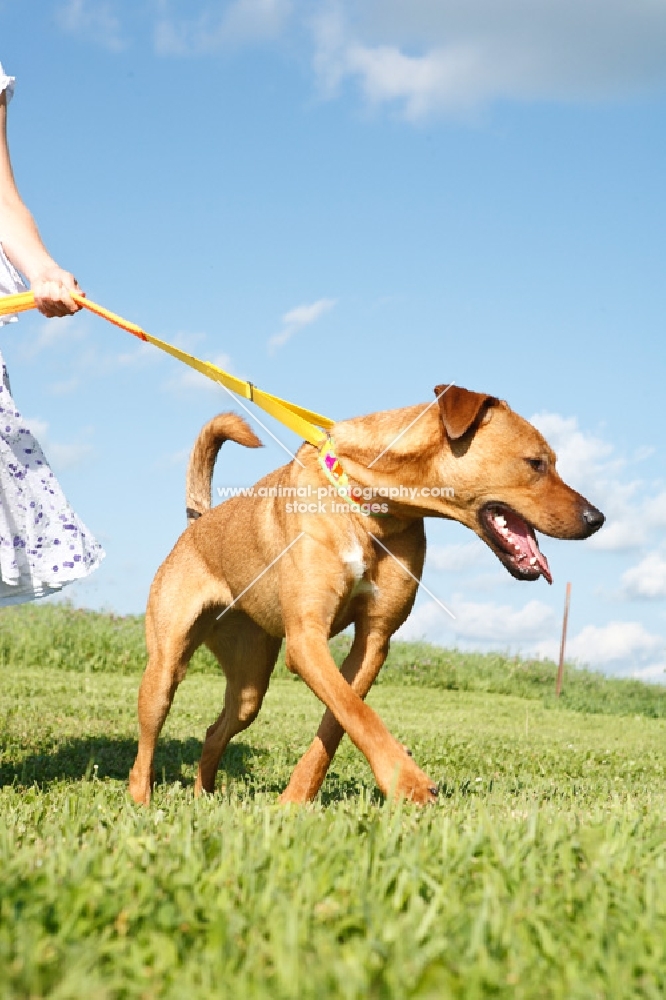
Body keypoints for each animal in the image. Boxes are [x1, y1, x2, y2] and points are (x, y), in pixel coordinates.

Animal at [128, 386, 600, 808]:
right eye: (536, 463)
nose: (597, 519)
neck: (369, 508)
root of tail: (199, 522)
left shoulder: (373, 640)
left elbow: (340, 720)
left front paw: (294, 802)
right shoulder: (307, 639)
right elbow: (359, 714)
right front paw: (409, 783)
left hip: (249, 682)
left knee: (216, 730)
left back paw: (204, 795)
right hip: (166, 668)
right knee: (146, 747)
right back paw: (141, 803)